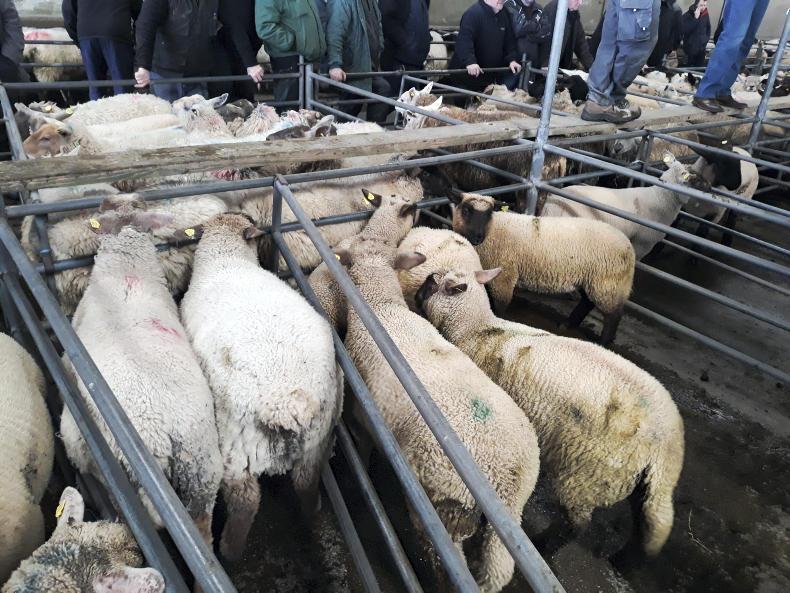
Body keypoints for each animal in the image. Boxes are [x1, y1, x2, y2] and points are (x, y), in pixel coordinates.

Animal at [179, 213, 342, 561]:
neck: (225, 260)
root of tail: (289, 404)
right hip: (317, 440)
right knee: (306, 481)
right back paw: (312, 512)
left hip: (236, 450)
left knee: (246, 501)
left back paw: (230, 550)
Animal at [337, 236, 538, 593]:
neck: (381, 308)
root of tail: (505, 476)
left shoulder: (363, 414)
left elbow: (363, 445)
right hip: (512, 517)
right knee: (499, 568)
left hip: (446, 504)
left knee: (446, 557)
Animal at [417, 268, 685, 558]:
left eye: (431, 284)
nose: (417, 291)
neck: (477, 328)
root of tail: (667, 445)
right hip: (641, 483)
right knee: (643, 523)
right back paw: (622, 559)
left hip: (586, 479)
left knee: (576, 525)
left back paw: (544, 546)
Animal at [451, 192, 636, 345]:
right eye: (466, 210)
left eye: (489, 213)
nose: (477, 237)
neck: (494, 230)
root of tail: (628, 246)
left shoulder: (504, 276)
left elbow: (500, 306)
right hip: (591, 280)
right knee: (587, 302)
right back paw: (568, 324)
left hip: (608, 283)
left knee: (613, 316)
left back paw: (604, 342)